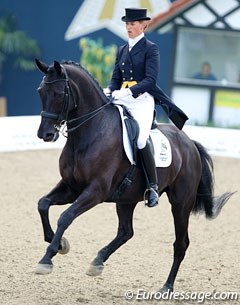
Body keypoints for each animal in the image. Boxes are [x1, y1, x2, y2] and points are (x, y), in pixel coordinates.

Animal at [33, 58, 232, 290]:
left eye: (58, 94)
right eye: (40, 91)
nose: (45, 134)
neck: (90, 132)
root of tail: (189, 143)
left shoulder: (95, 191)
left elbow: (65, 217)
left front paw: (47, 259)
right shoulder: (71, 187)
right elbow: (43, 204)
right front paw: (60, 244)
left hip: (181, 203)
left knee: (180, 243)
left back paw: (167, 286)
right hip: (126, 198)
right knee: (126, 231)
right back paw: (97, 261)